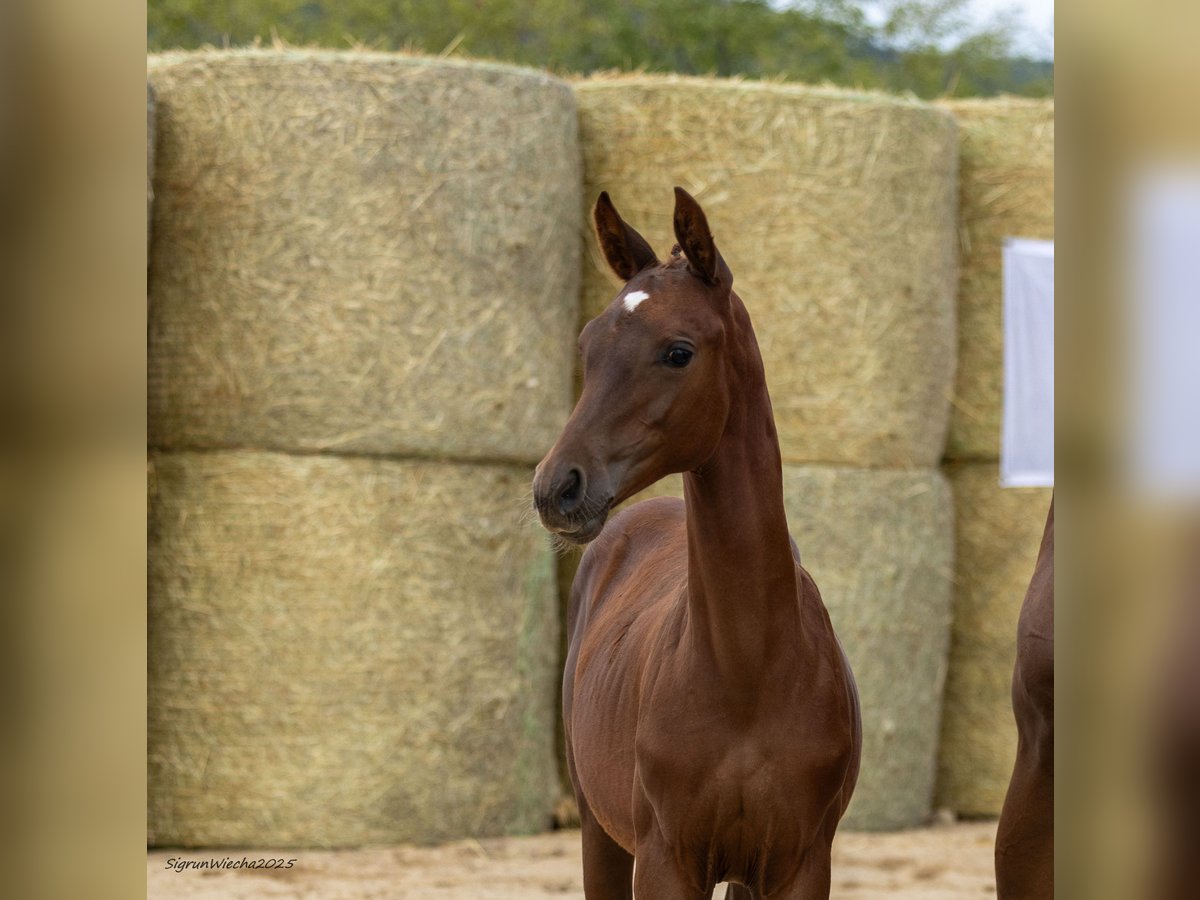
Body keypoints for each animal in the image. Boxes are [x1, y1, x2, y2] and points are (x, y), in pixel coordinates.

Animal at [532, 188, 862, 899]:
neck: (750, 672)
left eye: (678, 351)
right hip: (599, 833)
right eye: (588, 344)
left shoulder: (800, 863)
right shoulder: (665, 860)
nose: (556, 488)